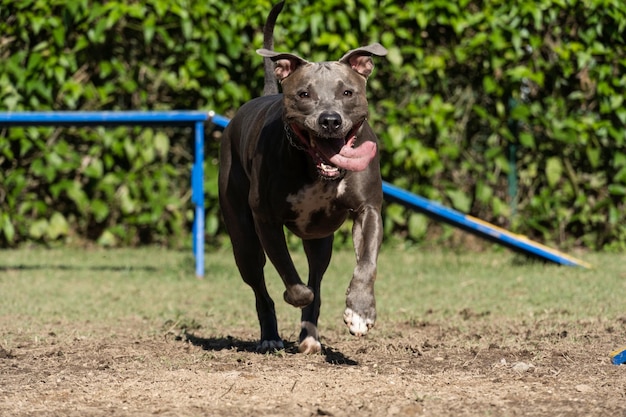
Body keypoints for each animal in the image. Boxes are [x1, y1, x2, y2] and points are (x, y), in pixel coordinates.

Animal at [218, 0, 386, 354]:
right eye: (304, 94)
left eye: (348, 92)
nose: (330, 120)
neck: (316, 168)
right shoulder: (266, 219)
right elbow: (288, 273)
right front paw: (296, 295)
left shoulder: (368, 210)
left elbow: (366, 263)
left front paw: (361, 311)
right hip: (243, 238)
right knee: (260, 286)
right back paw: (270, 335)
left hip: (320, 242)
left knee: (316, 276)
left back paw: (310, 335)